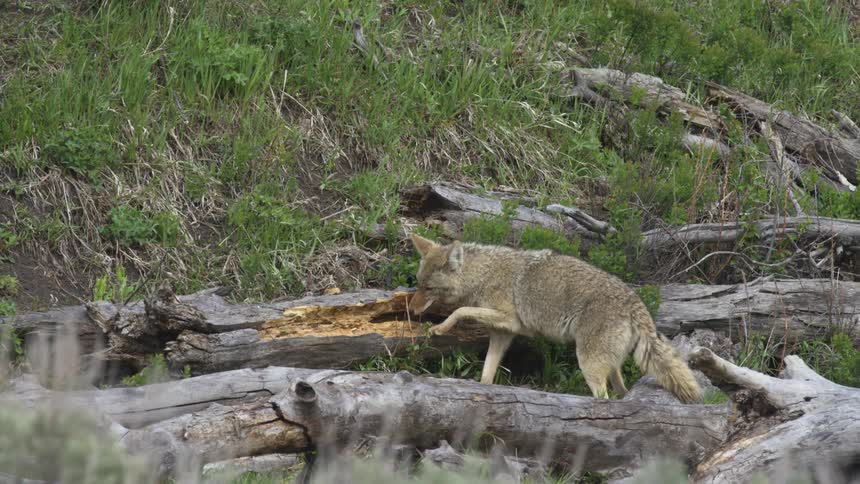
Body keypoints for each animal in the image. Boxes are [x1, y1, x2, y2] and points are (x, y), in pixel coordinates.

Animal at [408, 233, 702, 404]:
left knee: (604, 399)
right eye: (418, 284)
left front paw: (440, 328)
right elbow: (486, 376)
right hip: (610, 367)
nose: (411, 309)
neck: (483, 275)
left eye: (428, 289)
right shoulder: (503, 333)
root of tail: (636, 303)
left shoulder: (510, 320)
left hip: (589, 365)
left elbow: (459, 311)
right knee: (623, 394)